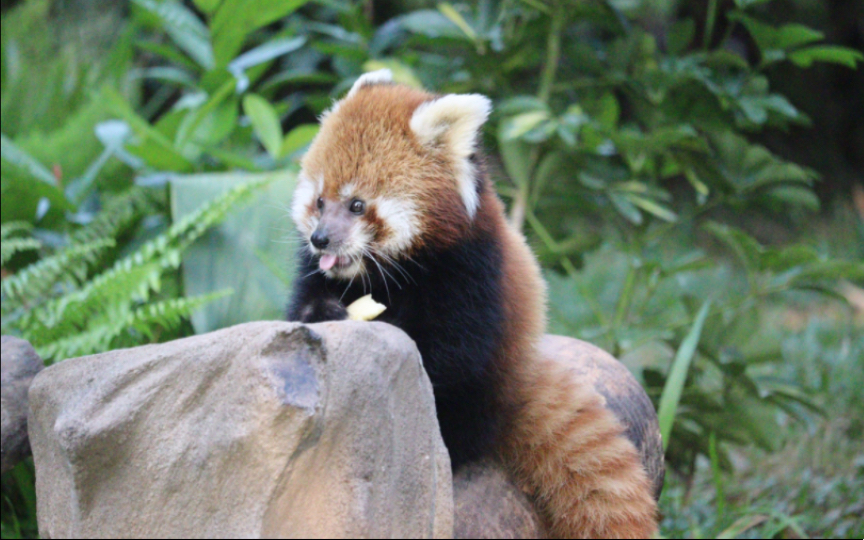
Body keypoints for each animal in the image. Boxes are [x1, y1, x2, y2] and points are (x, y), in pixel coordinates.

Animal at [286, 71, 660, 540]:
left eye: (357, 205)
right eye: (319, 201)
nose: (320, 239)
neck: (388, 272)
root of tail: (520, 375)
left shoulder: (471, 274)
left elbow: (445, 357)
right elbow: (302, 307)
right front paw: (325, 313)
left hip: (492, 377)